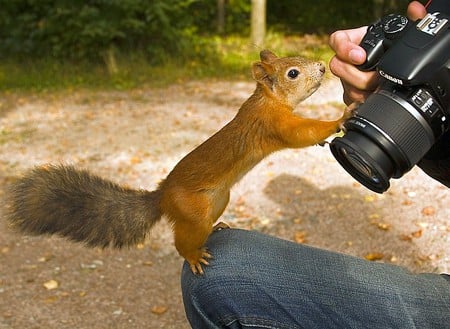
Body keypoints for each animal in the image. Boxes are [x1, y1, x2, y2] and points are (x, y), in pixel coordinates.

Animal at [5, 49, 354, 274]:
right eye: (292, 73)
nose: (322, 67)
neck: (266, 99)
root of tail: (162, 196)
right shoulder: (273, 125)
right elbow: (301, 133)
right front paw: (340, 118)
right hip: (193, 210)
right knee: (182, 240)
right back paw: (193, 256)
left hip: (219, 198)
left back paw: (217, 227)